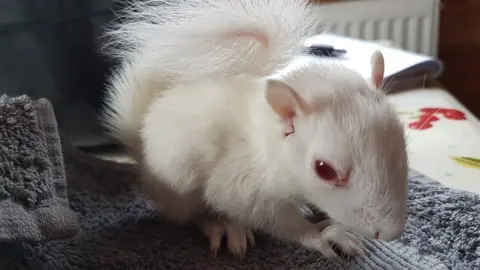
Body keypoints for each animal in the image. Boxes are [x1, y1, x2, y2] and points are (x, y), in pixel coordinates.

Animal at [102, 0, 408, 260]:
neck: (268, 141)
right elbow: (272, 218)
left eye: (402, 145)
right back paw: (222, 225)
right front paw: (322, 236)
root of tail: (140, 136)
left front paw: (331, 221)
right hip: (180, 181)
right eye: (324, 170)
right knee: (192, 213)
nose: (389, 232)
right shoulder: (244, 182)